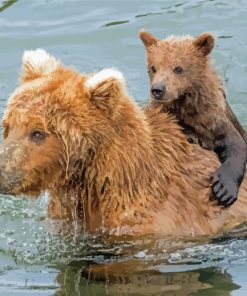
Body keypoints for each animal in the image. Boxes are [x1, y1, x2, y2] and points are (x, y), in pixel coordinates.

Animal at [140, 29, 246, 206]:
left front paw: (223, 190)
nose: (158, 89)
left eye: (178, 68)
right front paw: (191, 136)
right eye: (153, 67)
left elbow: (236, 145)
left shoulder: (214, 120)